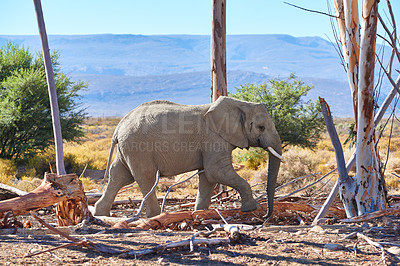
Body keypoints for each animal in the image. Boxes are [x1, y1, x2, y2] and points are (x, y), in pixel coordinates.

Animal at [93, 96, 282, 219]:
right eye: (261, 127)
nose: (266, 216)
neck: (240, 104)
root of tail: (119, 126)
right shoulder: (214, 138)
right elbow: (216, 171)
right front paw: (252, 208)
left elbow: (207, 176)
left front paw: (200, 212)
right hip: (138, 147)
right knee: (145, 177)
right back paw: (155, 215)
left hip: (127, 148)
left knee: (120, 175)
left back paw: (100, 213)